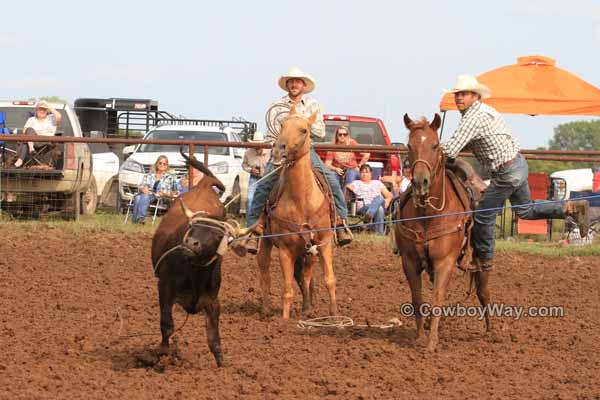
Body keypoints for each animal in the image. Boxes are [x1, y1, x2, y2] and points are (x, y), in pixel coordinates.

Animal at [254, 105, 338, 318]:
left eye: (304, 130)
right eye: (282, 125)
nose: (278, 149)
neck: (302, 201)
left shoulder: (324, 243)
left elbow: (329, 279)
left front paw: (334, 316)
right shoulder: (285, 250)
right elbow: (287, 289)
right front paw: (284, 320)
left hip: (308, 252)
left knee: (305, 276)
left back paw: (307, 308)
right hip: (266, 242)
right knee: (265, 273)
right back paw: (266, 310)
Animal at [394, 114, 492, 352]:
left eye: (435, 145)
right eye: (409, 146)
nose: (420, 182)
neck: (428, 214)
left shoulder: (445, 261)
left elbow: (437, 298)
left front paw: (431, 343)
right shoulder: (409, 261)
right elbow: (417, 298)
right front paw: (420, 337)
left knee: (483, 289)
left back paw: (490, 331)